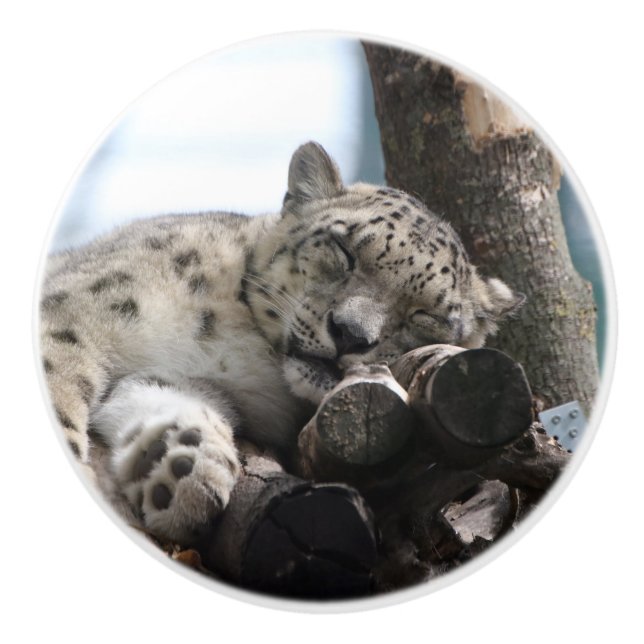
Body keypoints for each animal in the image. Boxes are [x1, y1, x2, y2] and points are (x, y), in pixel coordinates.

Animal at [38, 141, 523, 544]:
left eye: (426, 315)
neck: (238, 347)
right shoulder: (73, 315)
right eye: (345, 251)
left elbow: (162, 397)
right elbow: (58, 391)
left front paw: (182, 464)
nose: (350, 333)